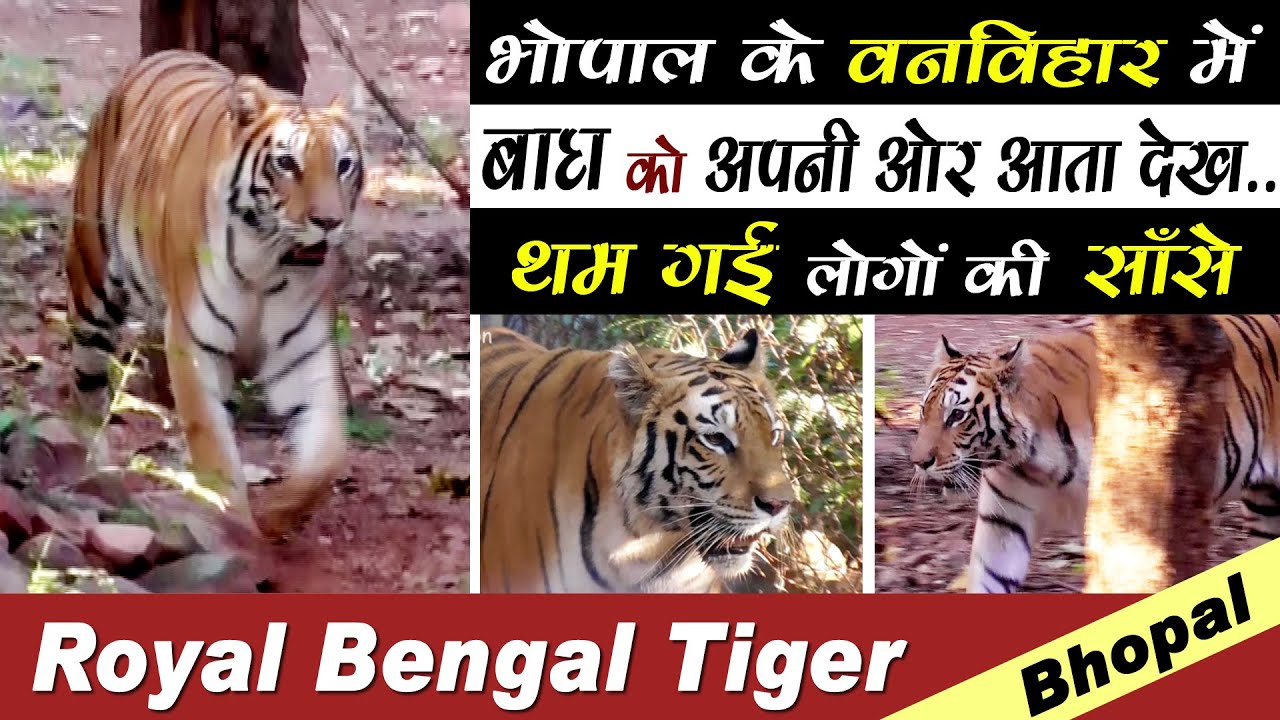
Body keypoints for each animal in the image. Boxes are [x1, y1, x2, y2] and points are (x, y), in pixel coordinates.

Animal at [64, 50, 365, 541]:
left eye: (344, 164)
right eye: (287, 164)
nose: (328, 221)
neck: (269, 264)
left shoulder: (305, 353)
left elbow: (327, 455)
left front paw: (276, 512)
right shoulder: (194, 346)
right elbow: (214, 447)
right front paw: (235, 524)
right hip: (92, 284)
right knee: (87, 390)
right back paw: (97, 473)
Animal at [909, 316, 1280, 593]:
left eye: (957, 415)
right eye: (924, 411)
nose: (919, 462)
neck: (1032, 460)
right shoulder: (1004, 521)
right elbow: (989, 578)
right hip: (1266, 505)